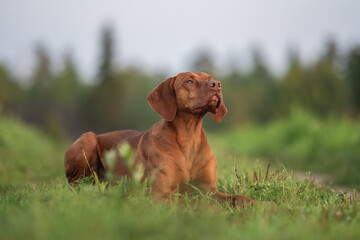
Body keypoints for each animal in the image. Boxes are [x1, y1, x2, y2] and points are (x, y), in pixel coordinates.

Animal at [64, 71, 255, 206]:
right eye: (189, 81)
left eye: (210, 78)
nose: (216, 84)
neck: (189, 137)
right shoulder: (161, 195)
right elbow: (195, 202)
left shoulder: (209, 190)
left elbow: (238, 197)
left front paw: (260, 205)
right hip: (88, 139)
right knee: (75, 184)